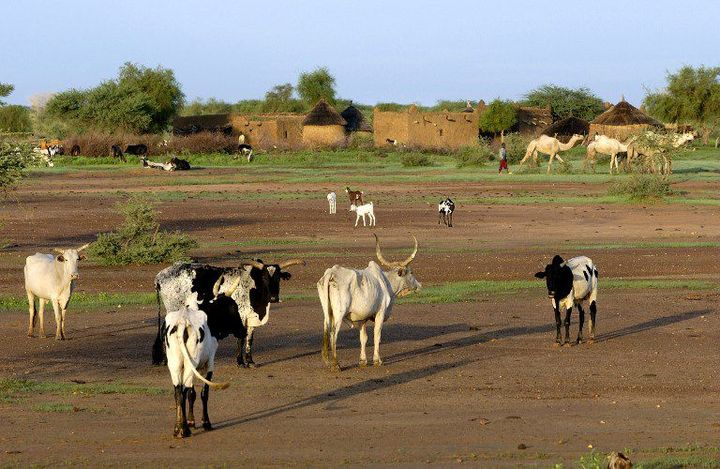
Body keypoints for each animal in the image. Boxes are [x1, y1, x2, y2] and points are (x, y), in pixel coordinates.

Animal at [153, 258, 306, 368]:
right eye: (264, 278)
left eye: (278, 278)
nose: (274, 298)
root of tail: (160, 276)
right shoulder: (241, 317)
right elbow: (241, 338)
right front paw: (240, 362)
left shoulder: (252, 318)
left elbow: (250, 339)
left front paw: (250, 361)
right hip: (173, 309)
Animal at [165, 292, 228, 438]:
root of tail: (183, 321)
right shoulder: (209, 363)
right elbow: (204, 393)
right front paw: (205, 422)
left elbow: (191, 394)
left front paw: (191, 421)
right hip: (190, 363)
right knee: (184, 389)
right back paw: (184, 430)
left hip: (175, 364)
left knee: (178, 391)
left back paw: (177, 429)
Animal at [316, 234, 422, 370]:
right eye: (411, 272)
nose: (419, 286)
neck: (387, 283)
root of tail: (331, 273)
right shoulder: (380, 312)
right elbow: (377, 334)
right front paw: (377, 360)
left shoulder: (362, 318)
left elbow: (363, 337)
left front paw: (363, 360)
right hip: (339, 312)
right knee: (334, 332)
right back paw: (335, 364)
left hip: (327, 310)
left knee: (325, 329)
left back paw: (327, 361)